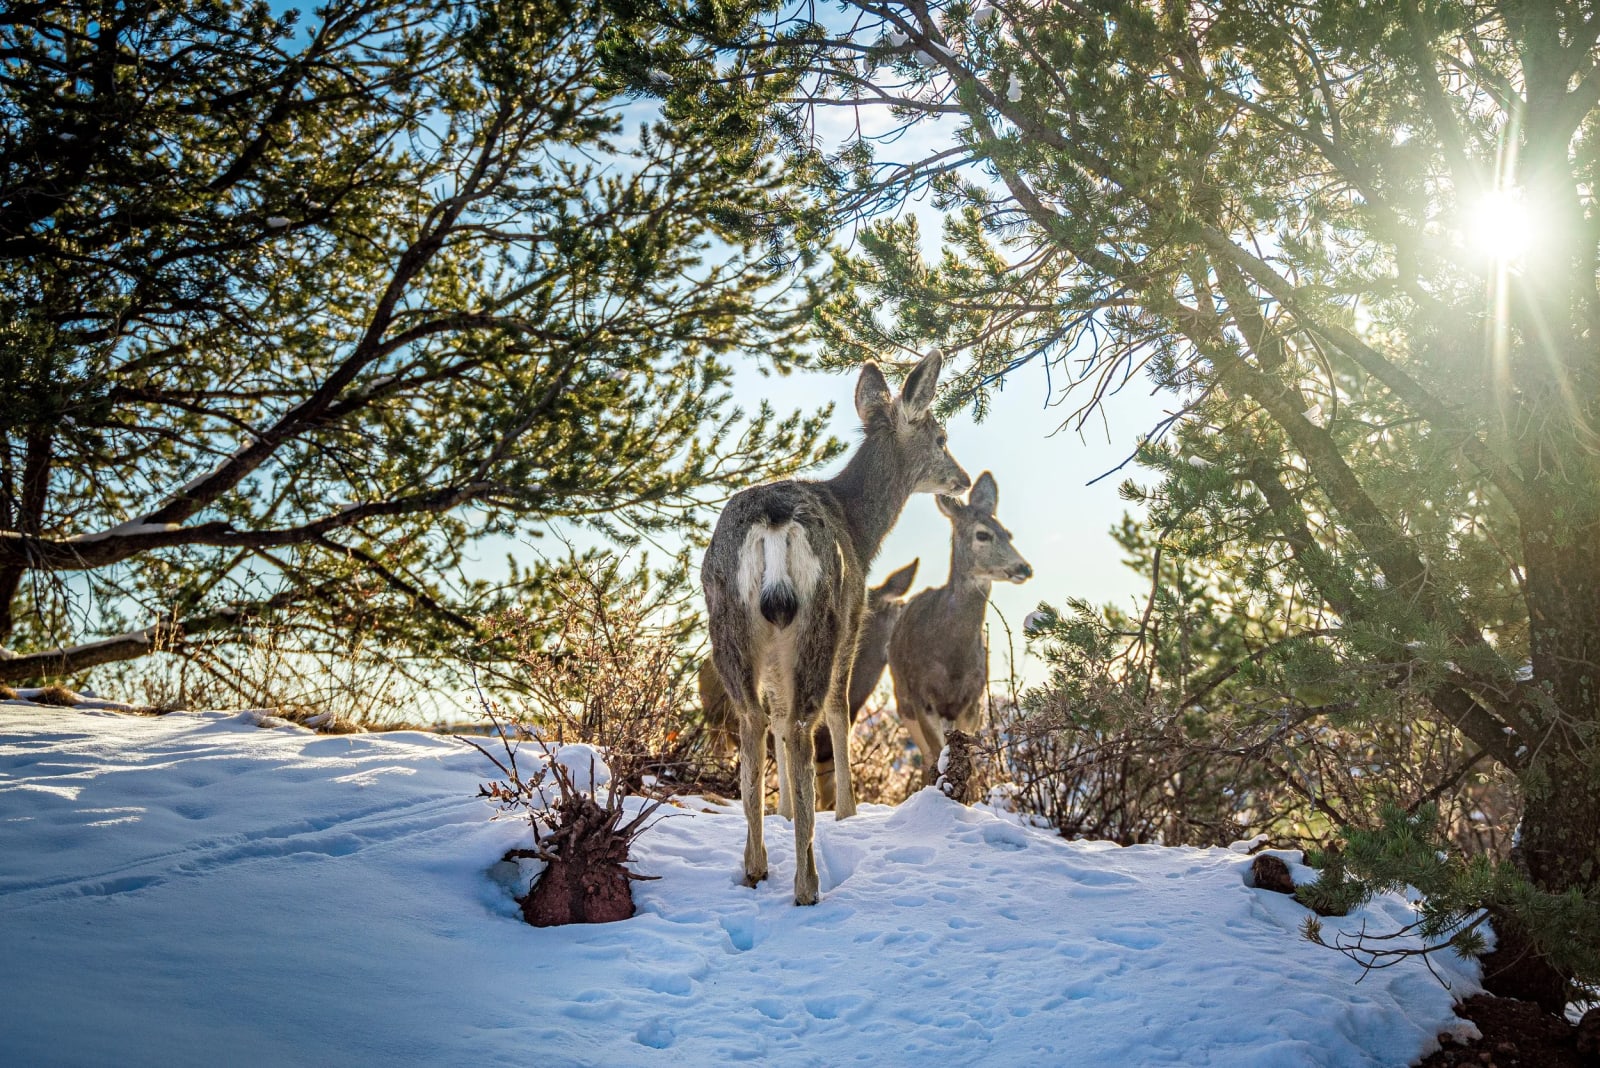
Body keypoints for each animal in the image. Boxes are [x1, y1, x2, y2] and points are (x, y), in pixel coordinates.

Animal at [888, 471, 1032, 779]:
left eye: (1008, 534)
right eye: (983, 534)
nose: (1024, 568)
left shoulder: (973, 701)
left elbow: (970, 763)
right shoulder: (922, 697)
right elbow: (937, 758)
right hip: (903, 703)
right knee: (927, 759)